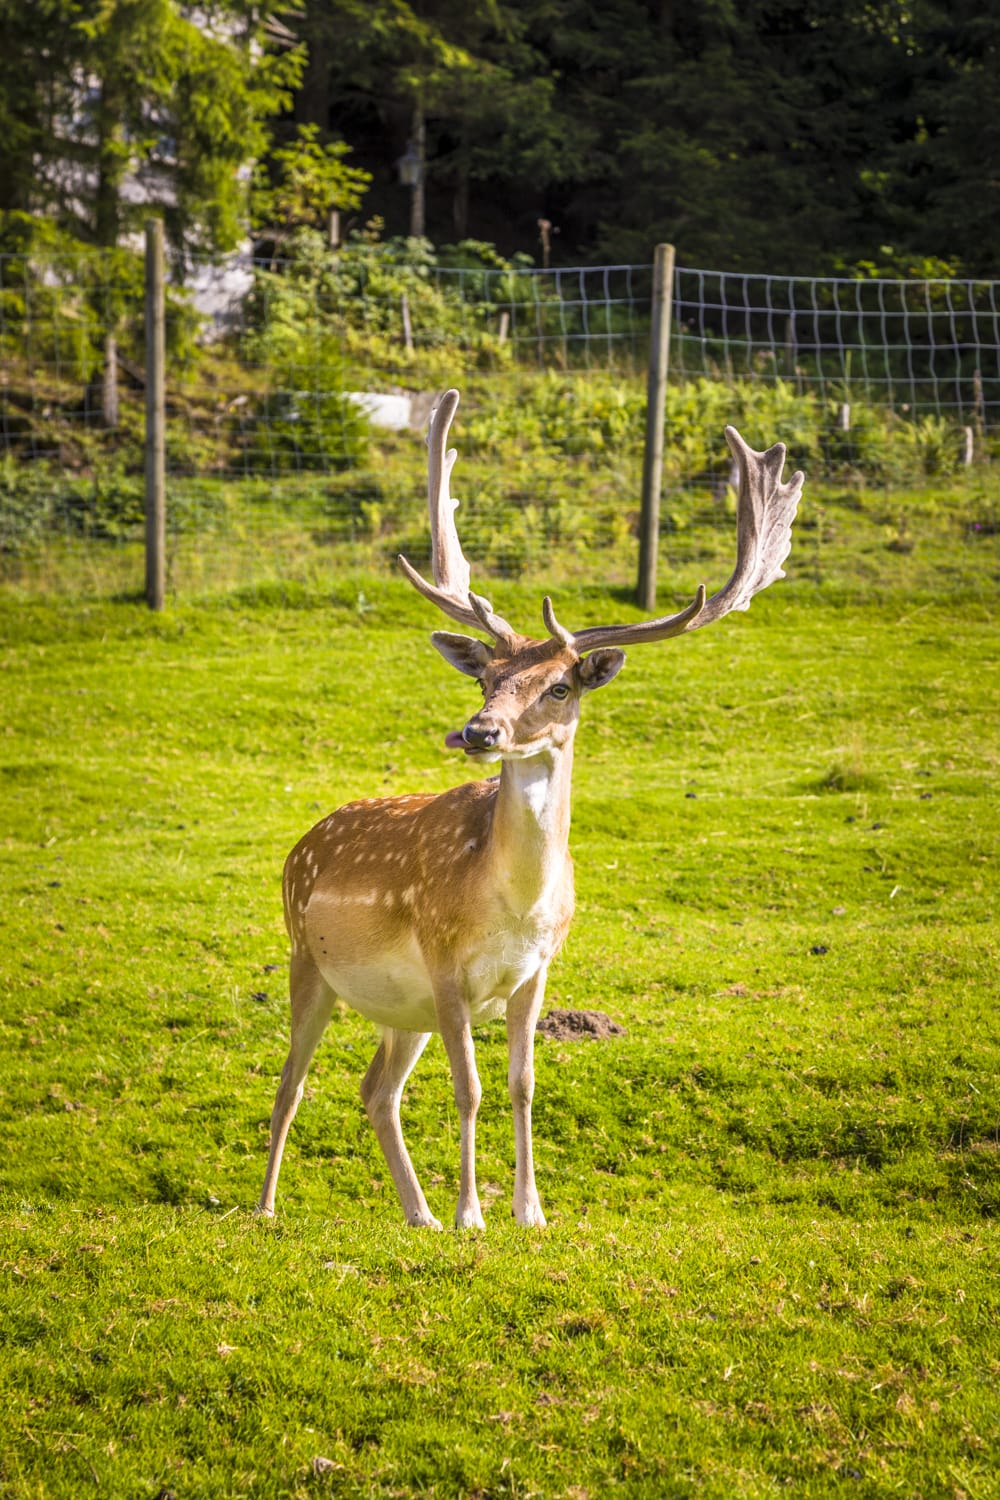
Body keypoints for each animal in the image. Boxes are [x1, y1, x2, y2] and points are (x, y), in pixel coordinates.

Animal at [258, 388, 803, 1230]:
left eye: (559, 685)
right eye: (488, 678)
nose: (480, 731)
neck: (512, 905)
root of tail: (299, 846)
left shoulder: (535, 973)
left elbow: (521, 1086)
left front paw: (528, 1211)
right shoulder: (445, 964)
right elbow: (470, 1089)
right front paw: (471, 1216)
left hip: (399, 1009)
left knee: (374, 1089)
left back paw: (415, 1215)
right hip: (306, 958)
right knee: (290, 1084)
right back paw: (268, 1208)